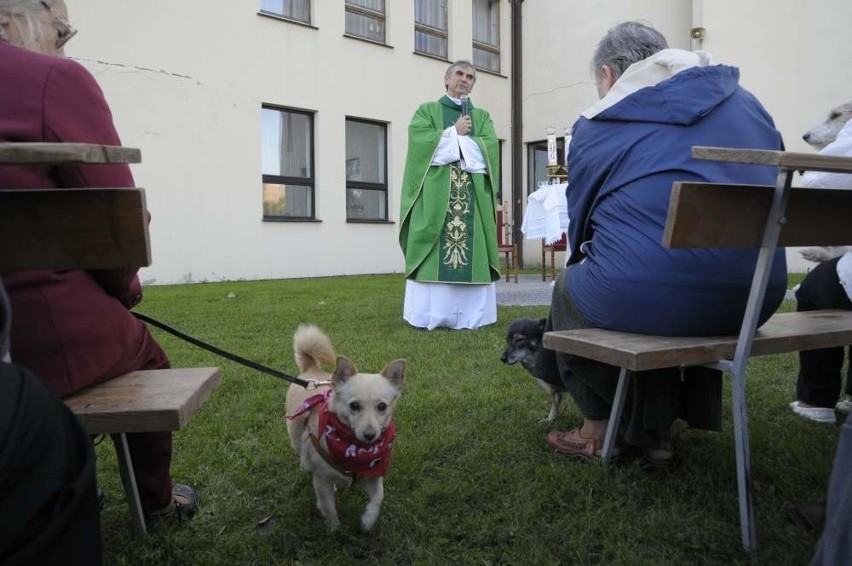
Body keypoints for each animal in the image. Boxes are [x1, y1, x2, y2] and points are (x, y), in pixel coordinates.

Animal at [284, 326, 404, 536]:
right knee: (302, 452)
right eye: (354, 406)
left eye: (382, 406)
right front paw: (334, 529)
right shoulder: (321, 480)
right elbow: (329, 507)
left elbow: (379, 497)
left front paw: (367, 521)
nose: (370, 435)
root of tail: (311, 369)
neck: (355, 449)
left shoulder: (374, 474)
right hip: (297, 437)